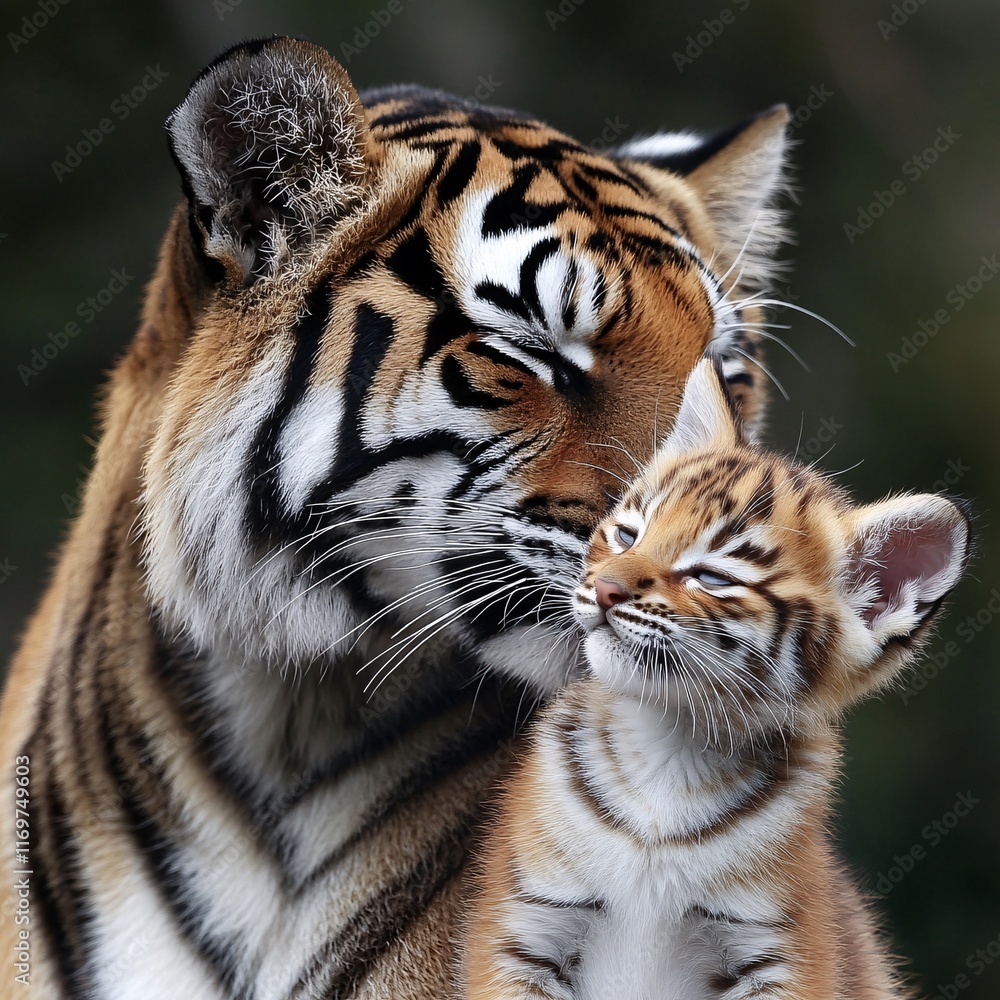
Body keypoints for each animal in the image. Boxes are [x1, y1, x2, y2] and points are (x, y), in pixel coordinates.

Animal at [463, 358, 971, 999]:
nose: (604, 589)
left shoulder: (778, 951)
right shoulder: (526, 927)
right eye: (628, 535)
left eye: (711, 577)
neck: (666, 743)